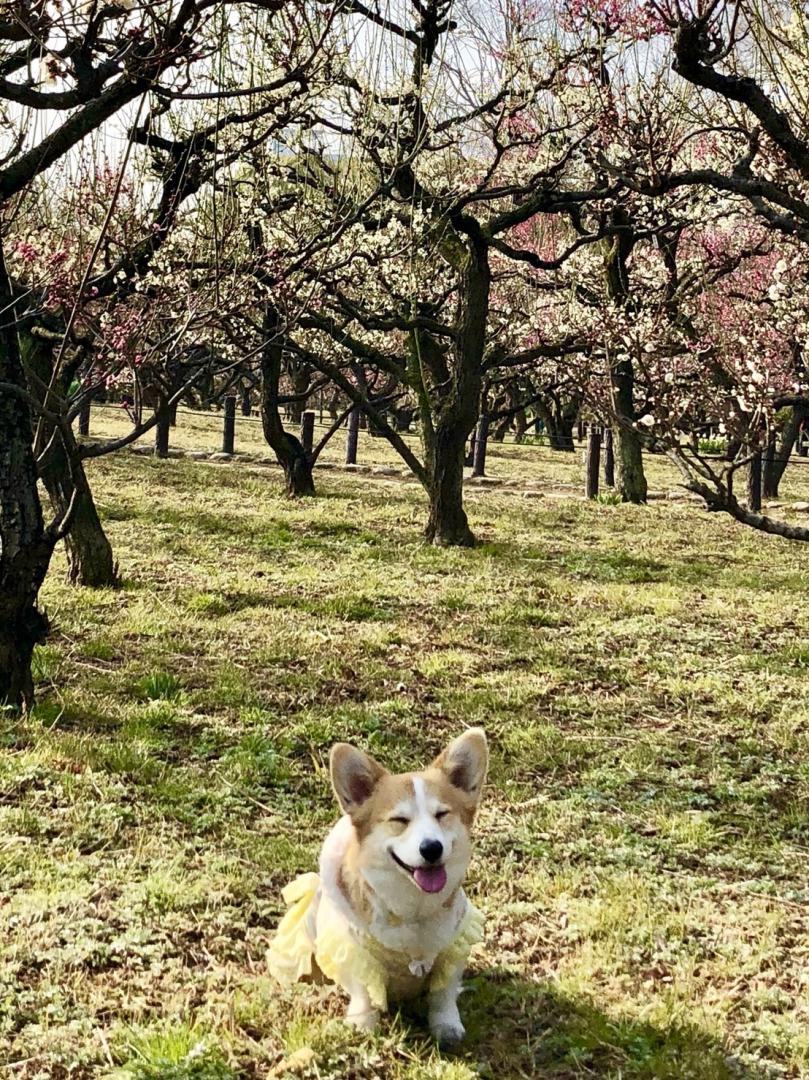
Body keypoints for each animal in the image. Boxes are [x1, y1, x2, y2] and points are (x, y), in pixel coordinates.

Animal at [267, 730, 488, 1041]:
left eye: (442, 814)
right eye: (399, 820)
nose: (432, 848)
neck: (413, 910)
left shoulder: (454, 947)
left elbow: (442, 993)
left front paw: (447, 1025)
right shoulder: (354, 950)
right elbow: (364, 991)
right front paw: (362, 1022)